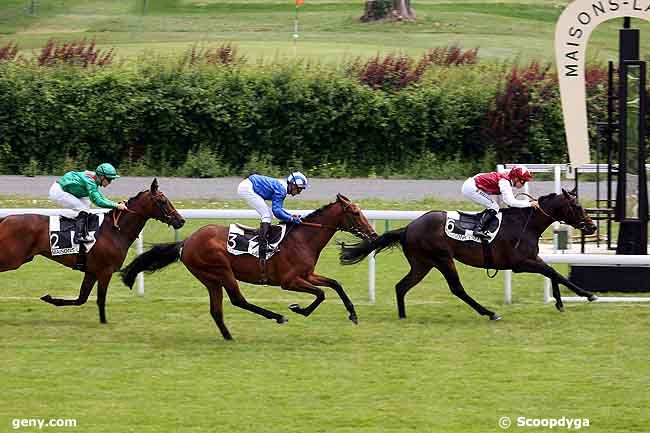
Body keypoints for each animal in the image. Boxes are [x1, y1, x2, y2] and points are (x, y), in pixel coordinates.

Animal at [0, 177, 185, 322]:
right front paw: (104, 322)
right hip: (11, 259)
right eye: (162, 201)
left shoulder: (91, 272)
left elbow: (81, 299)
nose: (181, 220)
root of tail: (5, 219)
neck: (115, 231)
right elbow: (100, 299)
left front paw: (50, 298)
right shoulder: (105, 271)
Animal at [121, 194, 374, 340]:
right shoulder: (289, 281)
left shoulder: (307, 275)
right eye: (354, 213)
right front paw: (298, 309)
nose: (372, 233)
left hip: (210, 279)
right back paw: (277, 316)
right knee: (238, 300)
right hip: (221, 270)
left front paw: (353, 314)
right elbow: (321, 293)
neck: (303, 238)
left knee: (217, 309)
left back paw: (228, 336)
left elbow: (335, 284)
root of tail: (186, 242)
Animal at [340, 189, 596, 320]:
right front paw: (588, 294)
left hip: (422, 264)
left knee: (401, 286)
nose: (592, 226)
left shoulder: (532, 259)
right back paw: (489, 313)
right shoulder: (520, 263)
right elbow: (554, 272)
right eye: (577, 207)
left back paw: (403, 316)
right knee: (457, 289)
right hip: (442, 259)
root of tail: (408, 228)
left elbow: (552, 273)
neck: (526, 223)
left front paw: (560, 303)